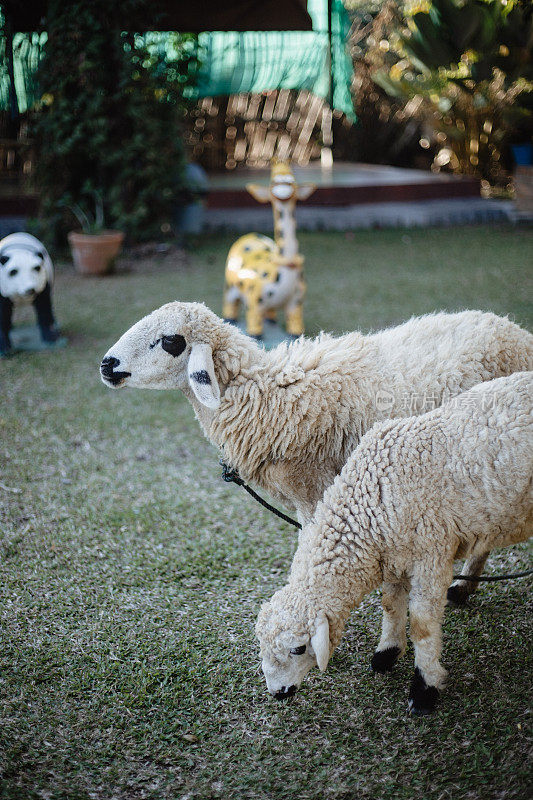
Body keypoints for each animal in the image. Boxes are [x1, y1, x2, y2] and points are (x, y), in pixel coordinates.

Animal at [101, 302, 532, 612]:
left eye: (170, 340)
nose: (107, 365)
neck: (263, 391)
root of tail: (515, 331)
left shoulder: (311, 489)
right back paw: (463, 587)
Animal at [255, 372, 532, 716]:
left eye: (298, 648)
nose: (278, 693)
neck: (371, 499)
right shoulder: (394, 554)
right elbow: (390, 604)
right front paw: (387, 653)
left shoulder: (431, 554)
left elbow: (423, 626)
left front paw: (425, 688)